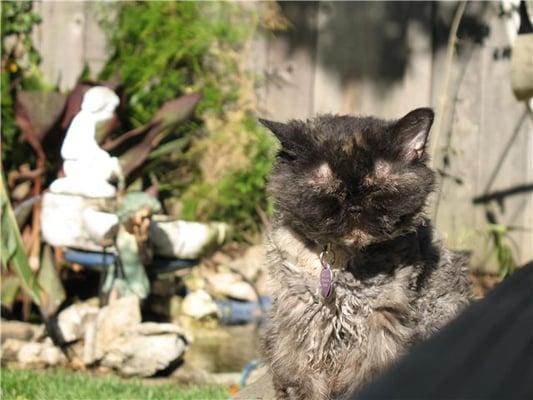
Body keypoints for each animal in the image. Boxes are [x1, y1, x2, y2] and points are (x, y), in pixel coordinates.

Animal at [258, 108, 470, 400]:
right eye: (330, 191)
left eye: (377, 190)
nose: (354, 206)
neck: (339, 263)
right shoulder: (302, 321)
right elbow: (304, 380)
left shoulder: (379, 323)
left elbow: (366, 377)